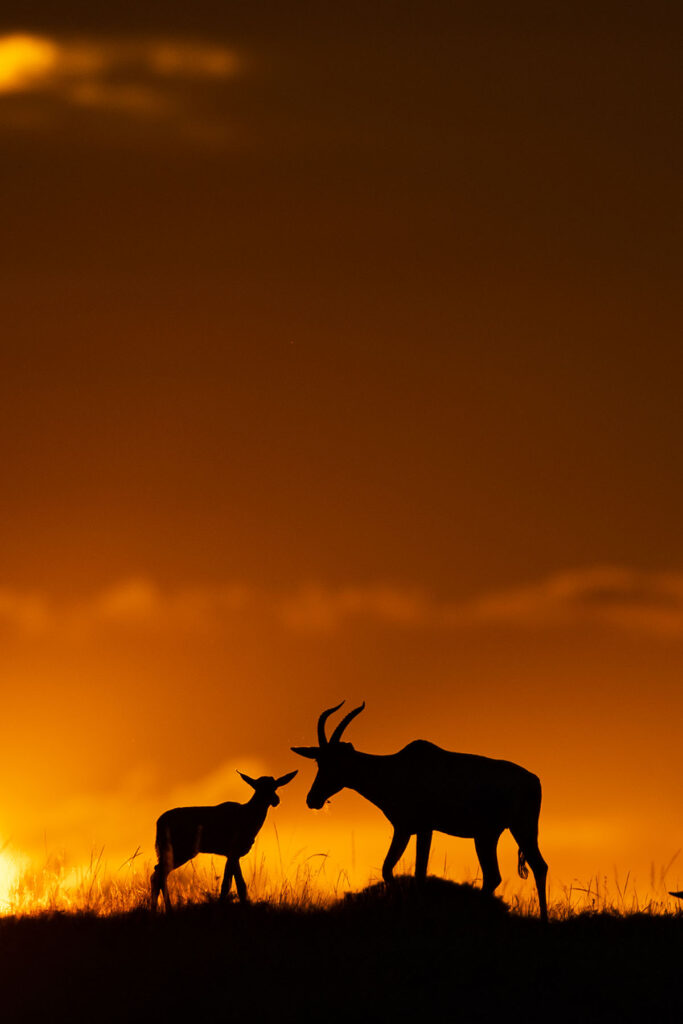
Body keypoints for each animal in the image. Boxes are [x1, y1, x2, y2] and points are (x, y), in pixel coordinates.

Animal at [152, 770, 296, 913]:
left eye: (275, 786)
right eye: (258, 787)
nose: (276, 800)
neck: (248, 818)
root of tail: (159, 823)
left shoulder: (233, 854)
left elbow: (237, 884)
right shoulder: (233, 849)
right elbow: (230, 884)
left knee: (157, 873)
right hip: (181, 849)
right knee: (159, 873)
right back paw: (166, 909)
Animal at [294, 704, 548, 921]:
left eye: (336, 761)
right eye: (318, 760)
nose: (312, 799)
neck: (397, 767)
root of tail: (533, 781)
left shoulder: (423, 829)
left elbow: (417, 873)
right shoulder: (405, 829)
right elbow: (388, 869)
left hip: (510, 831)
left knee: (519, 870)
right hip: (496, 834)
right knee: (512, 872)